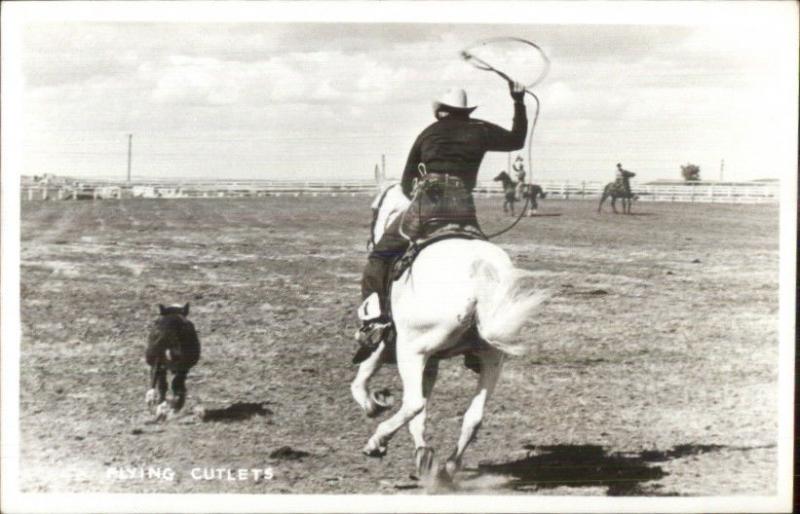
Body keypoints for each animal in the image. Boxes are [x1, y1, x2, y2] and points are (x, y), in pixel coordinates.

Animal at [352, 183, 552, 484]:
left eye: (374, 209)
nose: (370, 240)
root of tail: (478, 275)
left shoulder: (390, 343)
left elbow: (362, 378)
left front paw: (373, 405)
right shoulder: (431, 361)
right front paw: (422, 453)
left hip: (411, 351)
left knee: (413, 403)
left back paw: (377, 441)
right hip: (492, 357)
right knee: (473, 416)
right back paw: (448, 466)